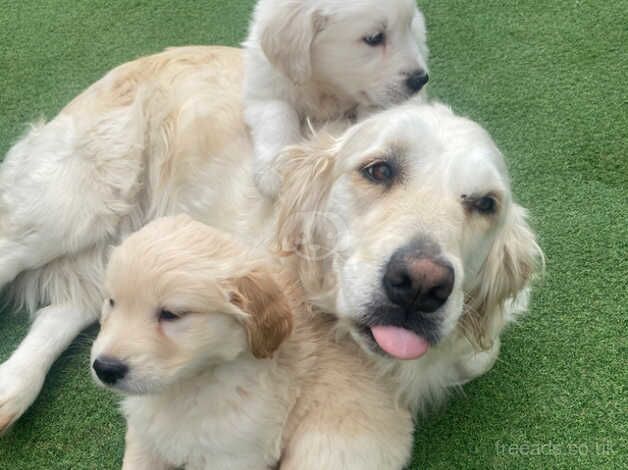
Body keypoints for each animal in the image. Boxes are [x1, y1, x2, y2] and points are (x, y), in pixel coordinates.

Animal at [243, 0, 430, 196]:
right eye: (374, 38)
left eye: (408, 25)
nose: (421, 79)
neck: (328, 85)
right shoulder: (263, 89)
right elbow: (279, 112)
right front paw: (275, 170)